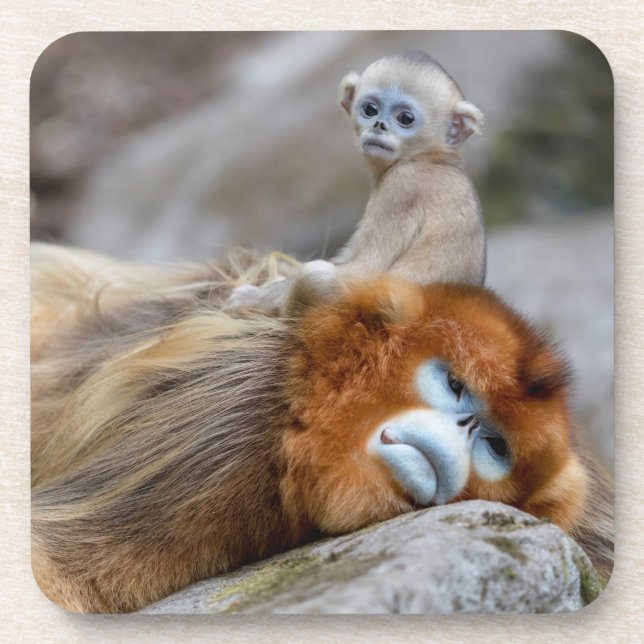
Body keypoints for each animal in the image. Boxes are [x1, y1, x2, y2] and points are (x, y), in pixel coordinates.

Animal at [226, 50, 486, 314]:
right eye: (370, 109)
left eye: (405, 118)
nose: (379, 125)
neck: (432, 159)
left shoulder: (402, 185)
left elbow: (363, 271)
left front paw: (252, 298)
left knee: (316, 275)